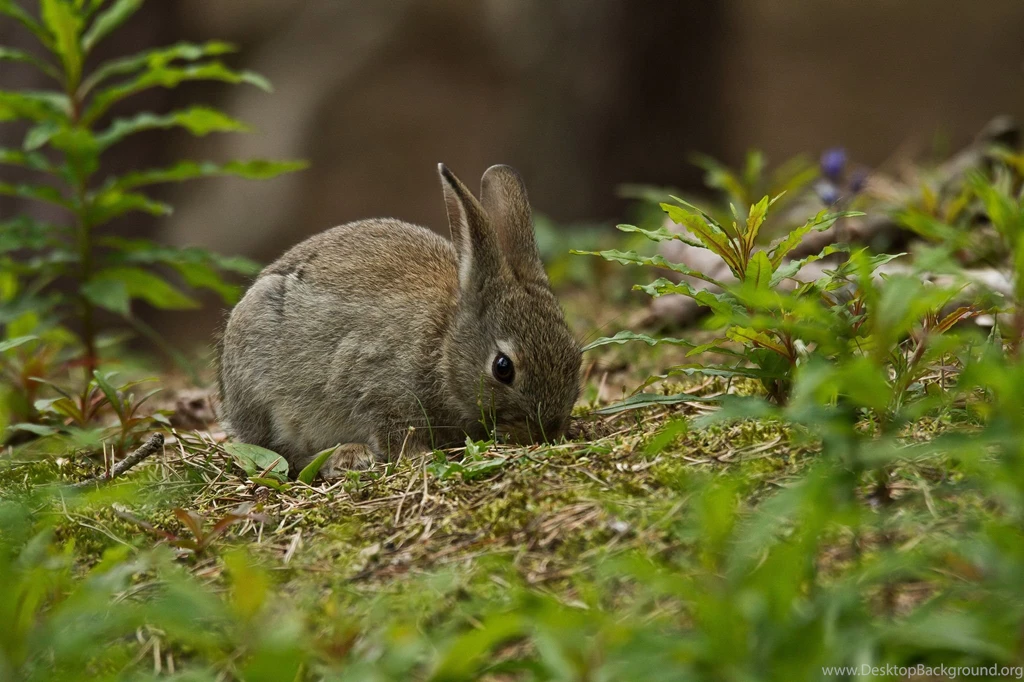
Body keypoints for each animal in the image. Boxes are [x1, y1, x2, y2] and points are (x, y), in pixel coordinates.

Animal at [217, 164, 582, 475]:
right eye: (503, 368)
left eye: (575, 356)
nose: (547, 431)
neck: (444, 347)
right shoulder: (375, 387)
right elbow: (394, 431)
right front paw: (421, 457)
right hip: (260, 391)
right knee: (280, 453)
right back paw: (347, 456)